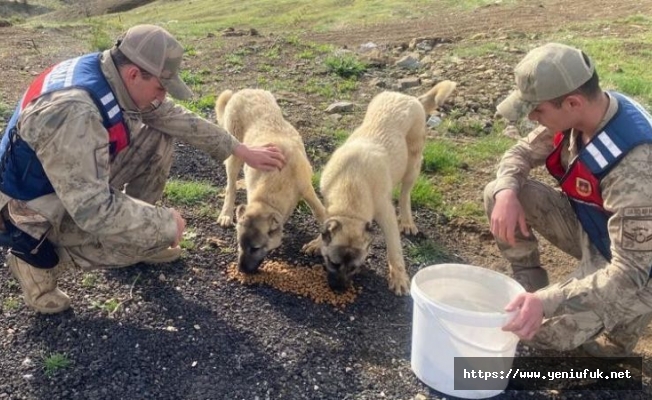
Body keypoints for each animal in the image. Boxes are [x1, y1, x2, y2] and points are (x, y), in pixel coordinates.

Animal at [214, 89, 326, 274]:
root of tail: (242, 91)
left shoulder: (307, 190)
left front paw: (317, 245)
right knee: (230, 187)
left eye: (255, 248)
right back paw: (226, 214)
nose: (241, 270)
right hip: (234, 157)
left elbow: (321, 215)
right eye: (239, 244)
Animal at [318, 80, 456, 294]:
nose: (339, 290)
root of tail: (411, 98)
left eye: (355, 268)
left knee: (406, 195)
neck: (351, 185)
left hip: (413, 166)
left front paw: (398, 277)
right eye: (332, 263)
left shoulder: (386, 216)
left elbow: (394, 250)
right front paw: (315, 242)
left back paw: (407, 221)